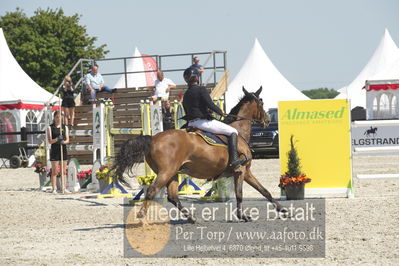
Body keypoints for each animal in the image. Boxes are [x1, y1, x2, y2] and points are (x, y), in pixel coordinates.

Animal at [113, 86, 284, 221]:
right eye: (261, 102)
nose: (267, 121)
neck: (239, 130)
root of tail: (153, 138)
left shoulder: (246, 172)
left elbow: (264, 191)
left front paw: (283, 210)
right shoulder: (241, 170)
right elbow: (239, 193)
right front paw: (243, 216)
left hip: (172, 173)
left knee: (172, 196)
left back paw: (191, 218)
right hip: (166, 172)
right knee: (151, 192)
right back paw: (141, 217)